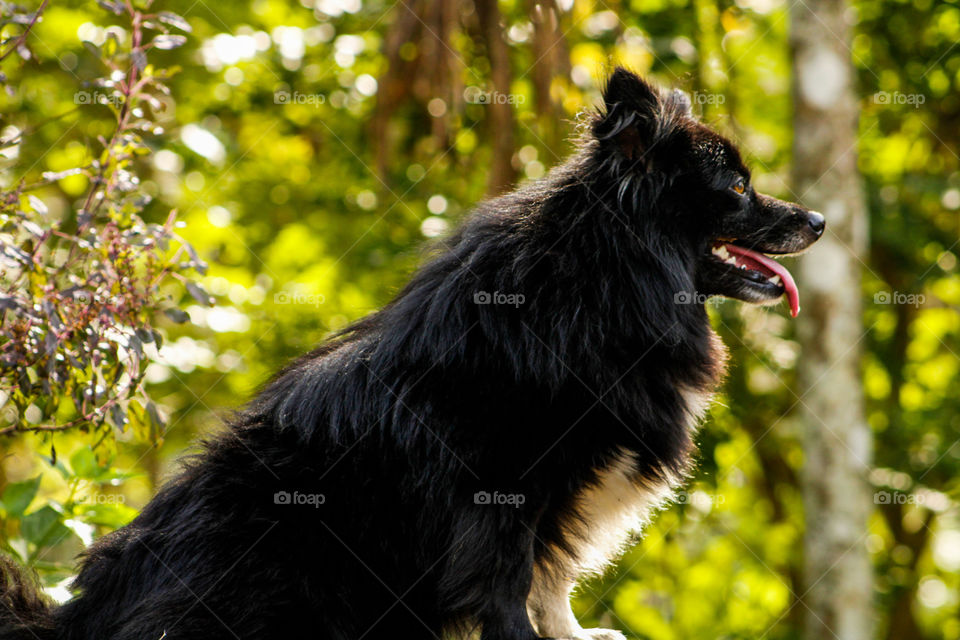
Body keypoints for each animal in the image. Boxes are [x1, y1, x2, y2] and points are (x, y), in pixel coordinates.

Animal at [1, 69, 824, 640]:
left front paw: (576, 635)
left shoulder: (562, 494)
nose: (817, 218)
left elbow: (551, 579)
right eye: (737, 187)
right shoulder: (502, 489)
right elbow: (510, 582)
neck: (604, 279)